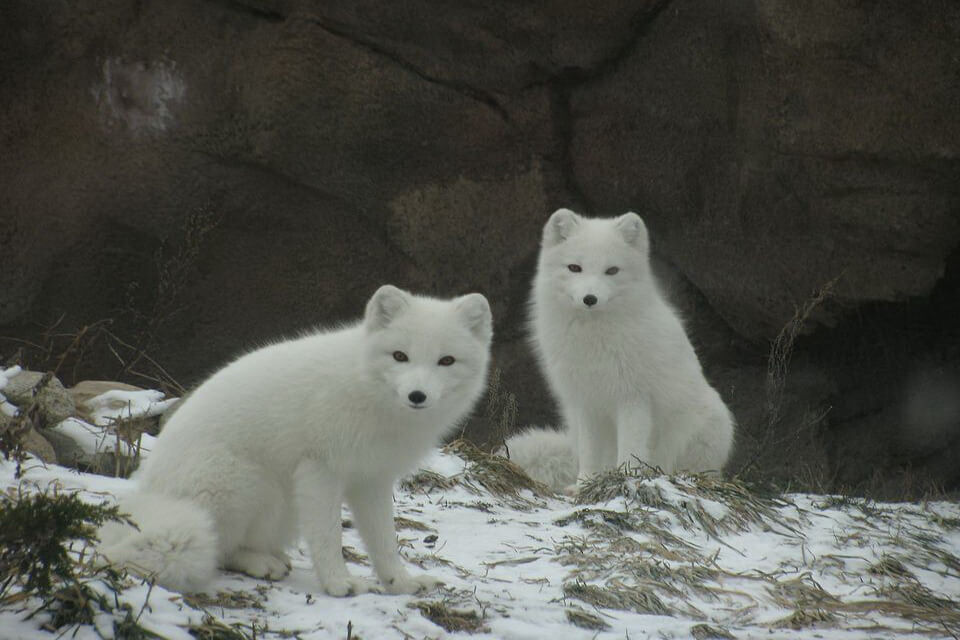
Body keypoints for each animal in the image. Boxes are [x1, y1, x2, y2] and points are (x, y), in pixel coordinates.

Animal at [99, 284, 496, 596]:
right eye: (400, 356)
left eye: (446, 361)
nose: (417, 395)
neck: (369, 394)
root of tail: (149, 494)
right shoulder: (320, 469)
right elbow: (328, 537)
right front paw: (339, 584)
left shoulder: (373, 479)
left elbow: (385, 541)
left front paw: (400, 583)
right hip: (249, 484)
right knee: (221, 548)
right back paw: (261, 563)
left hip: (285, 505)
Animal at [510, 209, 736, 490]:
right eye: (574, 268)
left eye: (612, 270)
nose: (590, 299)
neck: (594, 340)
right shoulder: (586, 401)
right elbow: (590, 452)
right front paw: (585, 484)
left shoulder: (633, 397)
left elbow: (631, 448)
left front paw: (625, 479)